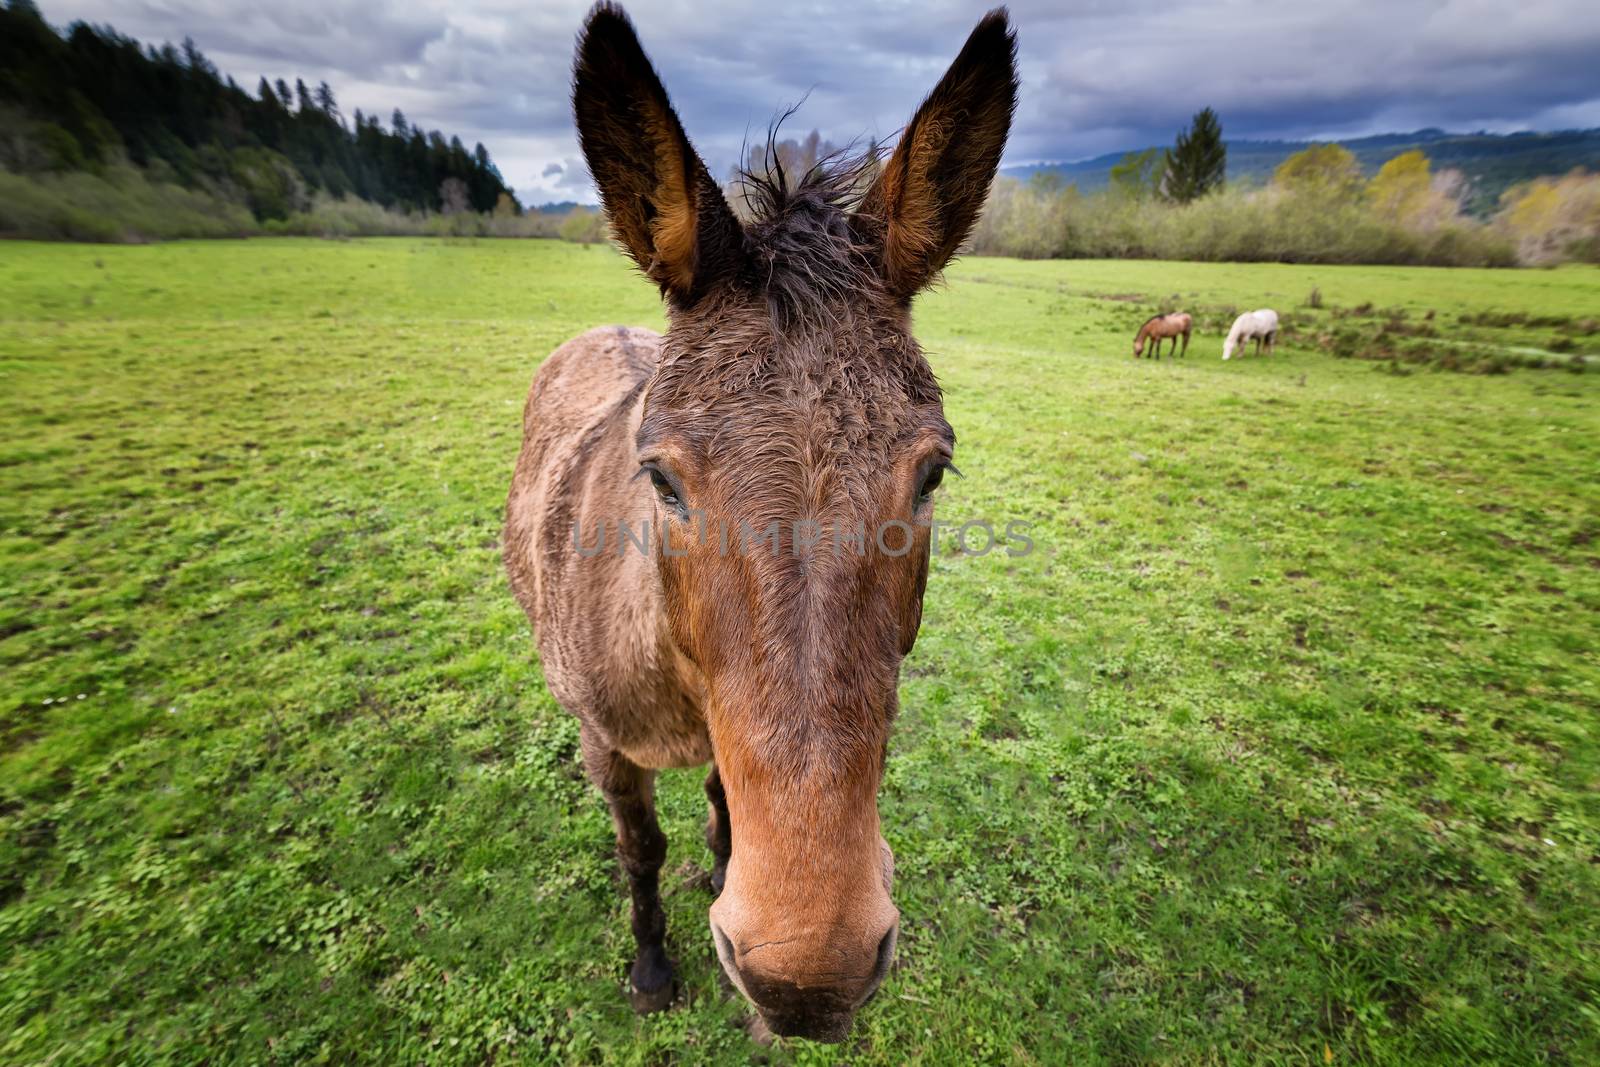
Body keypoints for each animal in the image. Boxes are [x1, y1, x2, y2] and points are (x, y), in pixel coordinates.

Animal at [502, 0, 1011, 1049]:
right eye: (660, 478)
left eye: (933, 471)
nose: (807, 972)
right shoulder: (604, 745)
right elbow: (640, 848)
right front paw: (653, 964)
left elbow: (725, 807)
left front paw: (723, 866)